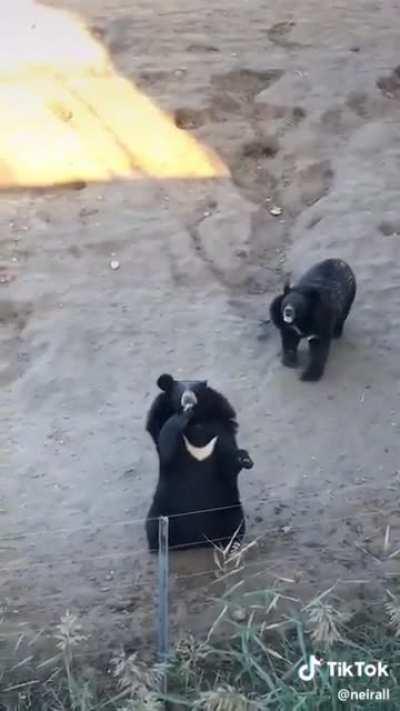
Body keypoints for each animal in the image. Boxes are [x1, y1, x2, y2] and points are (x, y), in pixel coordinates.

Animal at [145, 373, 254, 552]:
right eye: (180, 391)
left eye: (196, 390)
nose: (188, 400)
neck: (196, 423)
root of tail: (197, 540)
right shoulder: (160, 424)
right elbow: (166, 440)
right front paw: (182, 416)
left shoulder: (221, 430)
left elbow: (228, 462)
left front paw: (244, 459)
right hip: (163, 509)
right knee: (153, 526)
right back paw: (159, 546)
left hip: (228, 508)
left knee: (236, 524)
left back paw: (232, 545)